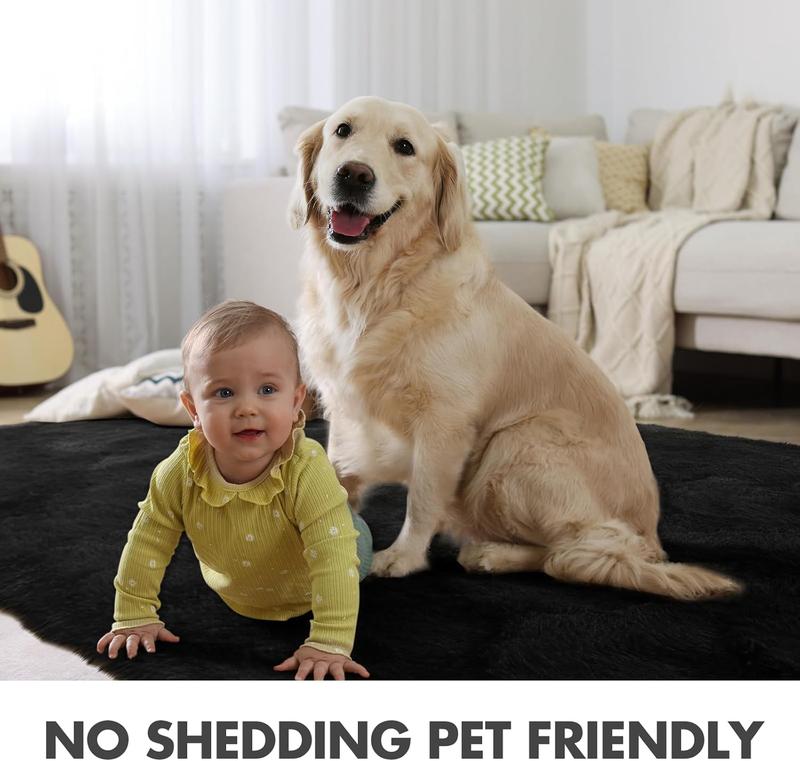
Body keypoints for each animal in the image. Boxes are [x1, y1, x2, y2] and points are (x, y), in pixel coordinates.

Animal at [289, 95, 740, 600]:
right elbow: (337, 470)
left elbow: (423, 497)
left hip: (516, 445)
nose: (353, 174)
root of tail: (651, 540)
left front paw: (401, 558)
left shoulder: (445, 422)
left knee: (574, 555)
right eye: (342, 130)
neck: (372, 286)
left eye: (404, 146)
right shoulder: (344, 405)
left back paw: (490, 554)